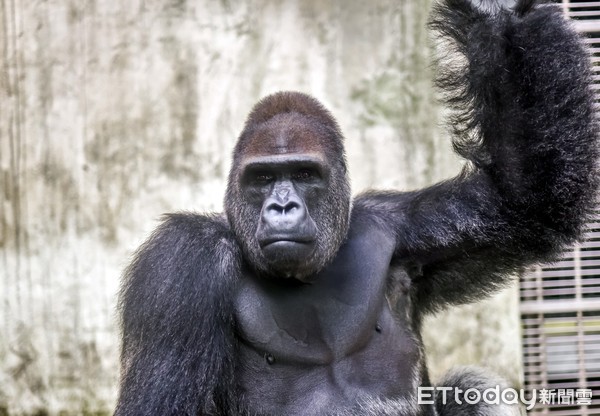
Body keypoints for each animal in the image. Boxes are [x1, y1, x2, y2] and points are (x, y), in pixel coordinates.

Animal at [115, 0, 596, 416]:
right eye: (263, 179)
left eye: (305, 173)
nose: (283, 206)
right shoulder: (181, 261)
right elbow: (164, 405)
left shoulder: (400, 226)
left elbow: (528, 202)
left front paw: (495, 11)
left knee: (469, 391)